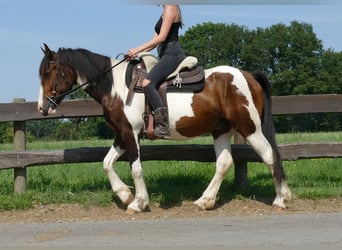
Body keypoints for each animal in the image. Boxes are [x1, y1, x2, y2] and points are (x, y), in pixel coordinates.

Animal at [38, 43, 292, 213]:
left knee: (269, 155)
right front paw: (125, 195)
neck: (116, 87)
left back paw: (281, 199)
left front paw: (138, 202)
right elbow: (107, 163)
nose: (42, 107)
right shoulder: (122, 134)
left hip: (250, 128)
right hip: (221, 129)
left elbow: (136, 168)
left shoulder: (131, 134)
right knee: (224, 162)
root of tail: (248, 75)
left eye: (48, 73)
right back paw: (205, 200)